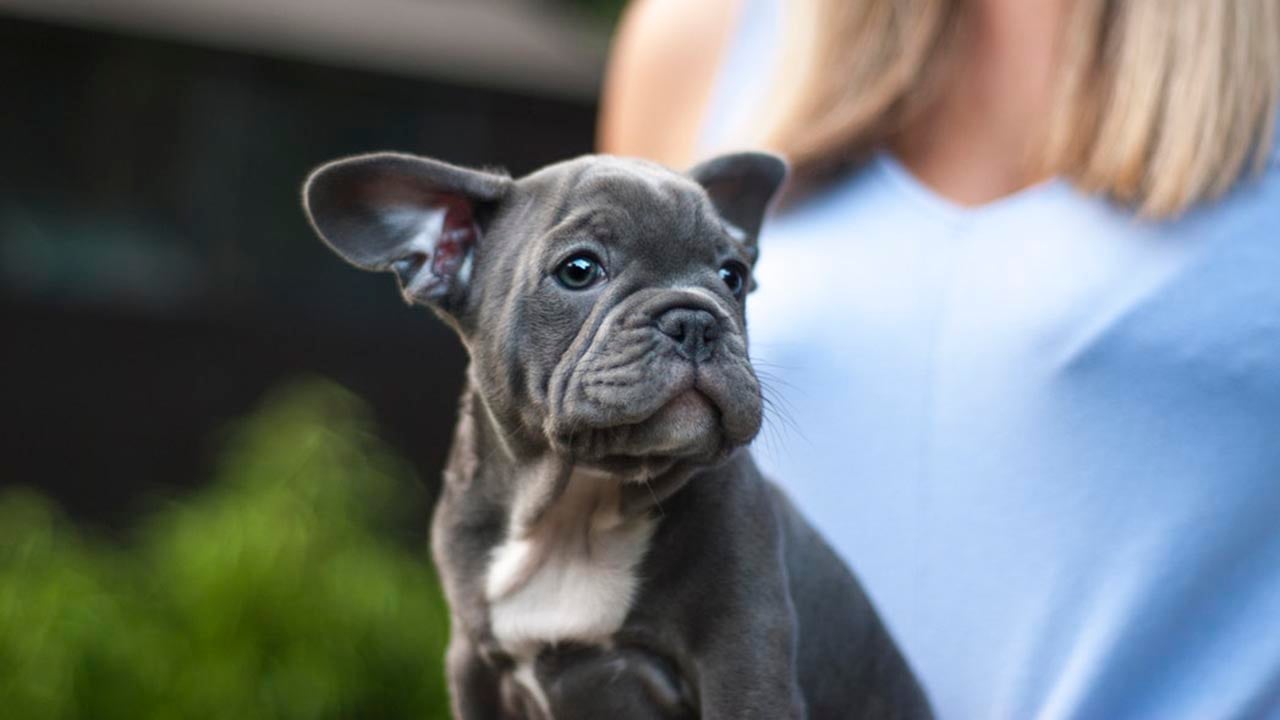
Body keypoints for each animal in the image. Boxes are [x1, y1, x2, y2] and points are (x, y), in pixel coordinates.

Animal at [302, 151, 931, 719]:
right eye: (579, 270)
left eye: (734, 277)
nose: (695, 319)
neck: (576, 507)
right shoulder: (474, 668)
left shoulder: (745, 662)